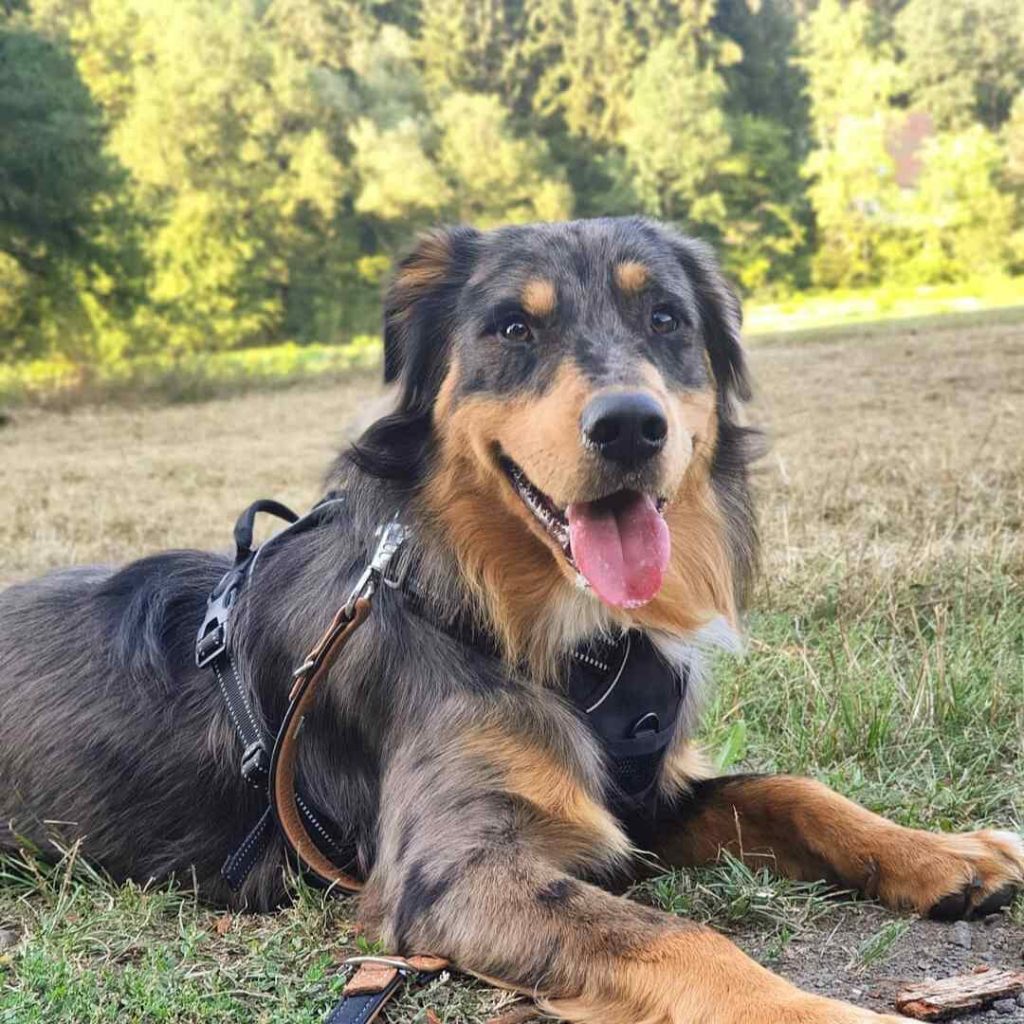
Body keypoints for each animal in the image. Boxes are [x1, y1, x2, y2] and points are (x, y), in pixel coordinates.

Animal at [2, 218, 1024, 1024]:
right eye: (513, 328)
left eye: (666, 320)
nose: (630, 427)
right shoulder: (451, 875)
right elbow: (679, 937)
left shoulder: (641, 796)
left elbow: (793, 790)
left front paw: (946, 852)